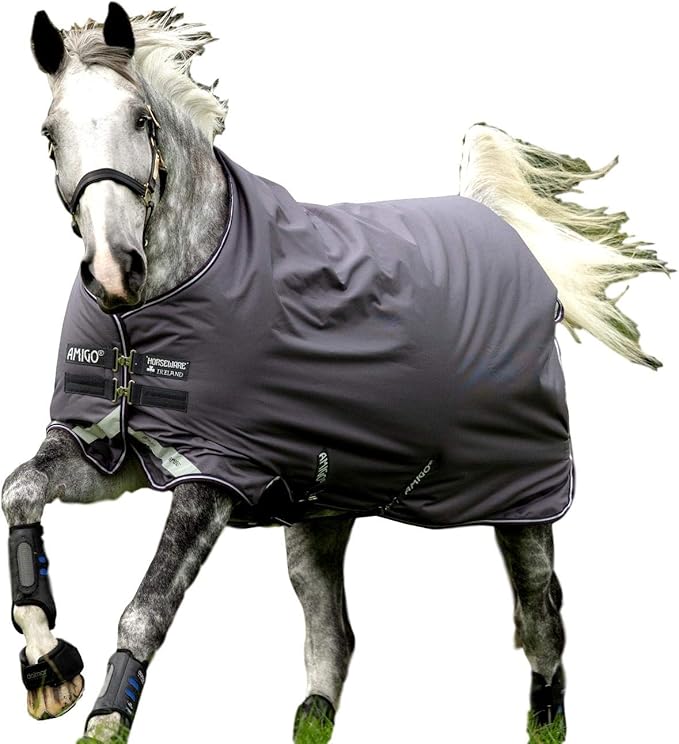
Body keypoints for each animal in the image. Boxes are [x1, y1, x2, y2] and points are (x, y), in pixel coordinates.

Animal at [3, 5, 669, 744]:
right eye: (49, 134)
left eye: (142, 120)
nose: (114, 271)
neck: (151, 315)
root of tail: (497, 223)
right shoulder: (111, 451)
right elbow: (19, 490)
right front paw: (48, 669)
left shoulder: (213, 475)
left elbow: (147, 607)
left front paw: (101, 715)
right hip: (322, 513)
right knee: (333, 633)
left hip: (523, 499)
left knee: (541, 613)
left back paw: (546, 713)